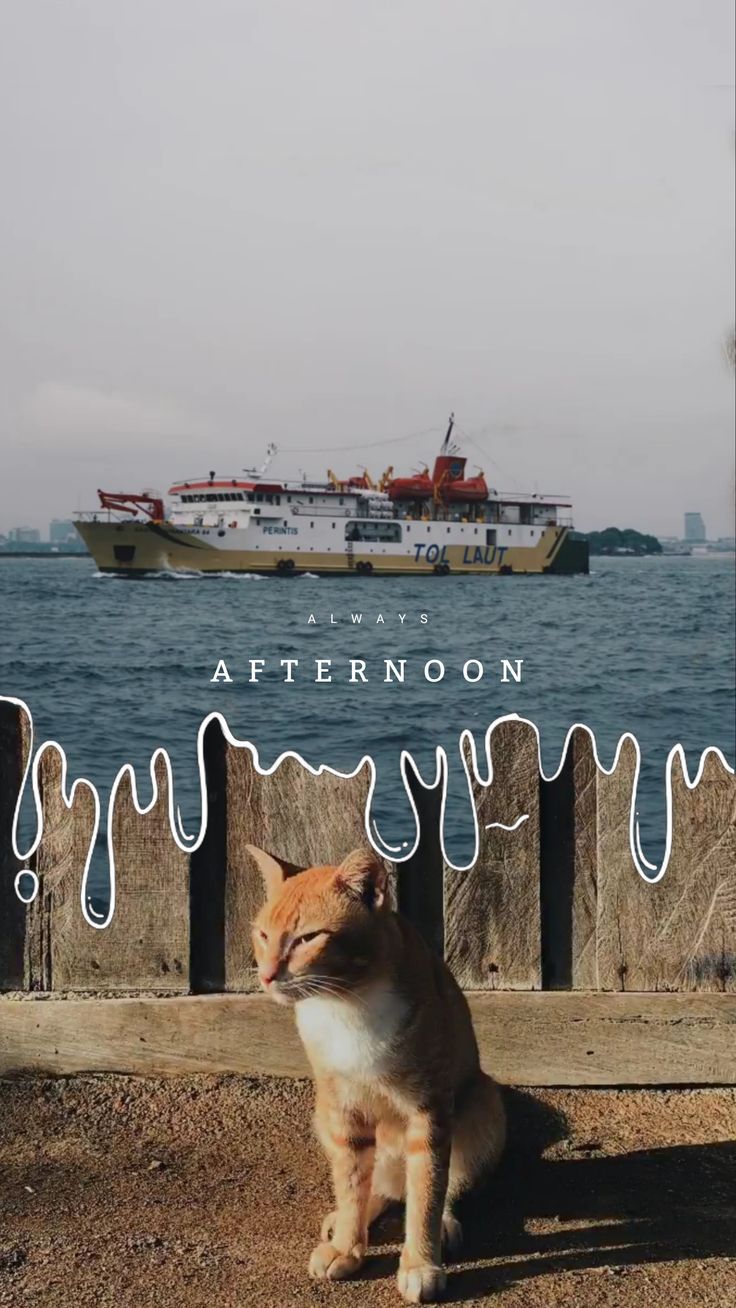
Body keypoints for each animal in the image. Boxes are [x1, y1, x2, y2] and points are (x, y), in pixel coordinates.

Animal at [249, 842, 507, 1302]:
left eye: (307, 938)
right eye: (262, 935)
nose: (266, 975)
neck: (346, 1004)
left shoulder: (429, 1110)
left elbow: (428, 1190)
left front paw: (420, 1263)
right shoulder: (342, 1107)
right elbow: (352, 1181)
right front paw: (347, 1246)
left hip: (484, 1102)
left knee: (439, 1182)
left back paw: (443, 1224)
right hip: (322, 1115)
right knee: (381, 1186)